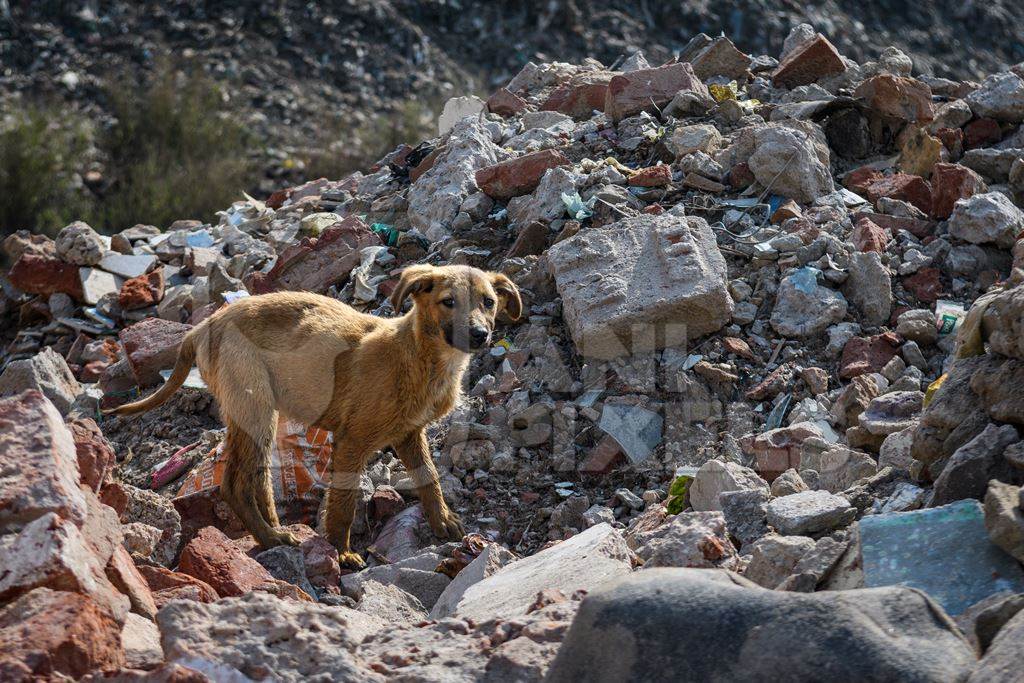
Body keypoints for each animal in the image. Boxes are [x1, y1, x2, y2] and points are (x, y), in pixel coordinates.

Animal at [108, 264, 520, 569]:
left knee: (256, 479)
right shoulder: (353, 440)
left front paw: (443, 522)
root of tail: (202, 328)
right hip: (254, 407)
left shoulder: (410, 433)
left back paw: (274, 529)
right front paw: (341, 551)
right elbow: (344, 502)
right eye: (448, 302)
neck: (419, 355)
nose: (480, 335)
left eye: (488, 302)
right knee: (235, 484)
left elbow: (429, 479)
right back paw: (270, 537)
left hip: (260, 412)